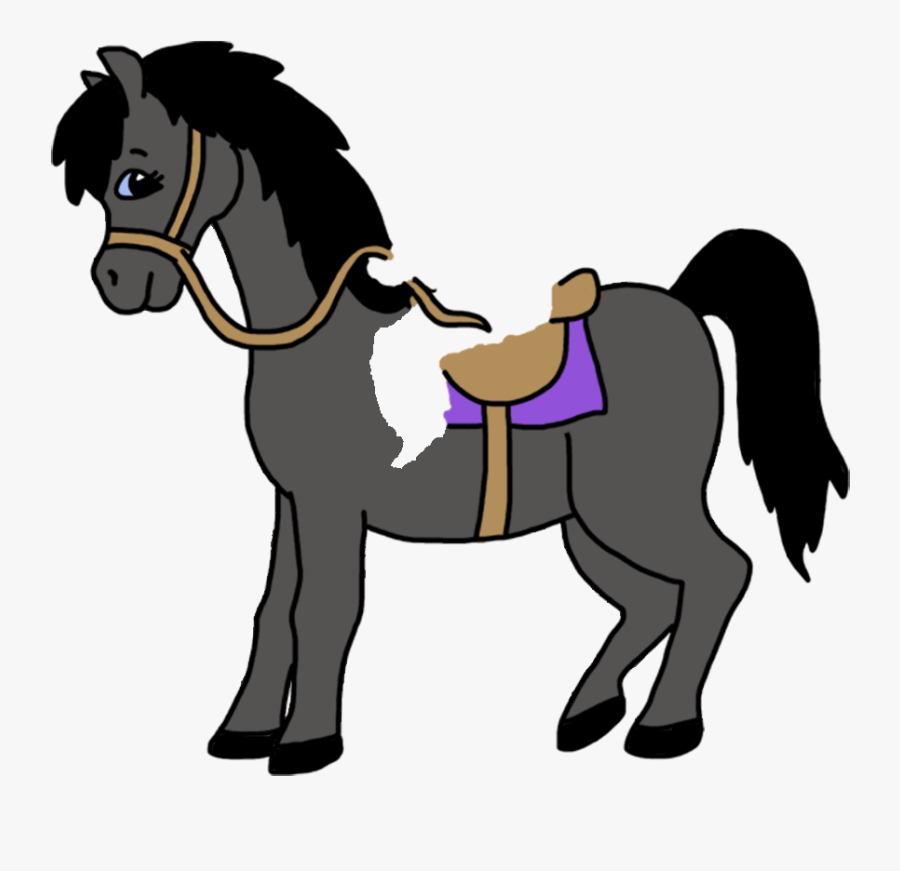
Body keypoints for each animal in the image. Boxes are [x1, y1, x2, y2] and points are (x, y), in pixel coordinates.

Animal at [52, 42, 848, 775]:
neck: (320, 338)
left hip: (639, 503)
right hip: (590, 520)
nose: (117, 281)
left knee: (719, 574)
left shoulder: (333, 504)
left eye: (139, 177)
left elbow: (325, 610)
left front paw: (308, 742)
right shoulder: (292, 499)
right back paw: (587, 712)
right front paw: (242, 731)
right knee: (652, 599)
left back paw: (664, 726)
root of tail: (683, 301)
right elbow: (273, 609)